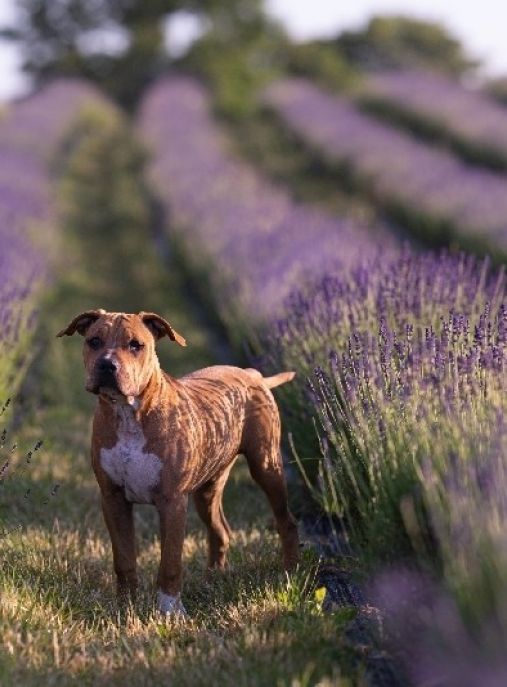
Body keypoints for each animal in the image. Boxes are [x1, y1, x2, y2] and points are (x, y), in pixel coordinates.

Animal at [57, 312, 300, 620]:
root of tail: (252, 374)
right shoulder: (113, 499)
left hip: (266, 466)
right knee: (220, 530)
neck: (128, 413)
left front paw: (170, 611)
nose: (107, 364)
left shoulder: (172, 502)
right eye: (94, 341)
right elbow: (124, 559)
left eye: (136, 345)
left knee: (286, 521)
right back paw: (213, 579)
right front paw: (125, 608)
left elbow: (170, 563)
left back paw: (290, 574)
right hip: (207, 490)